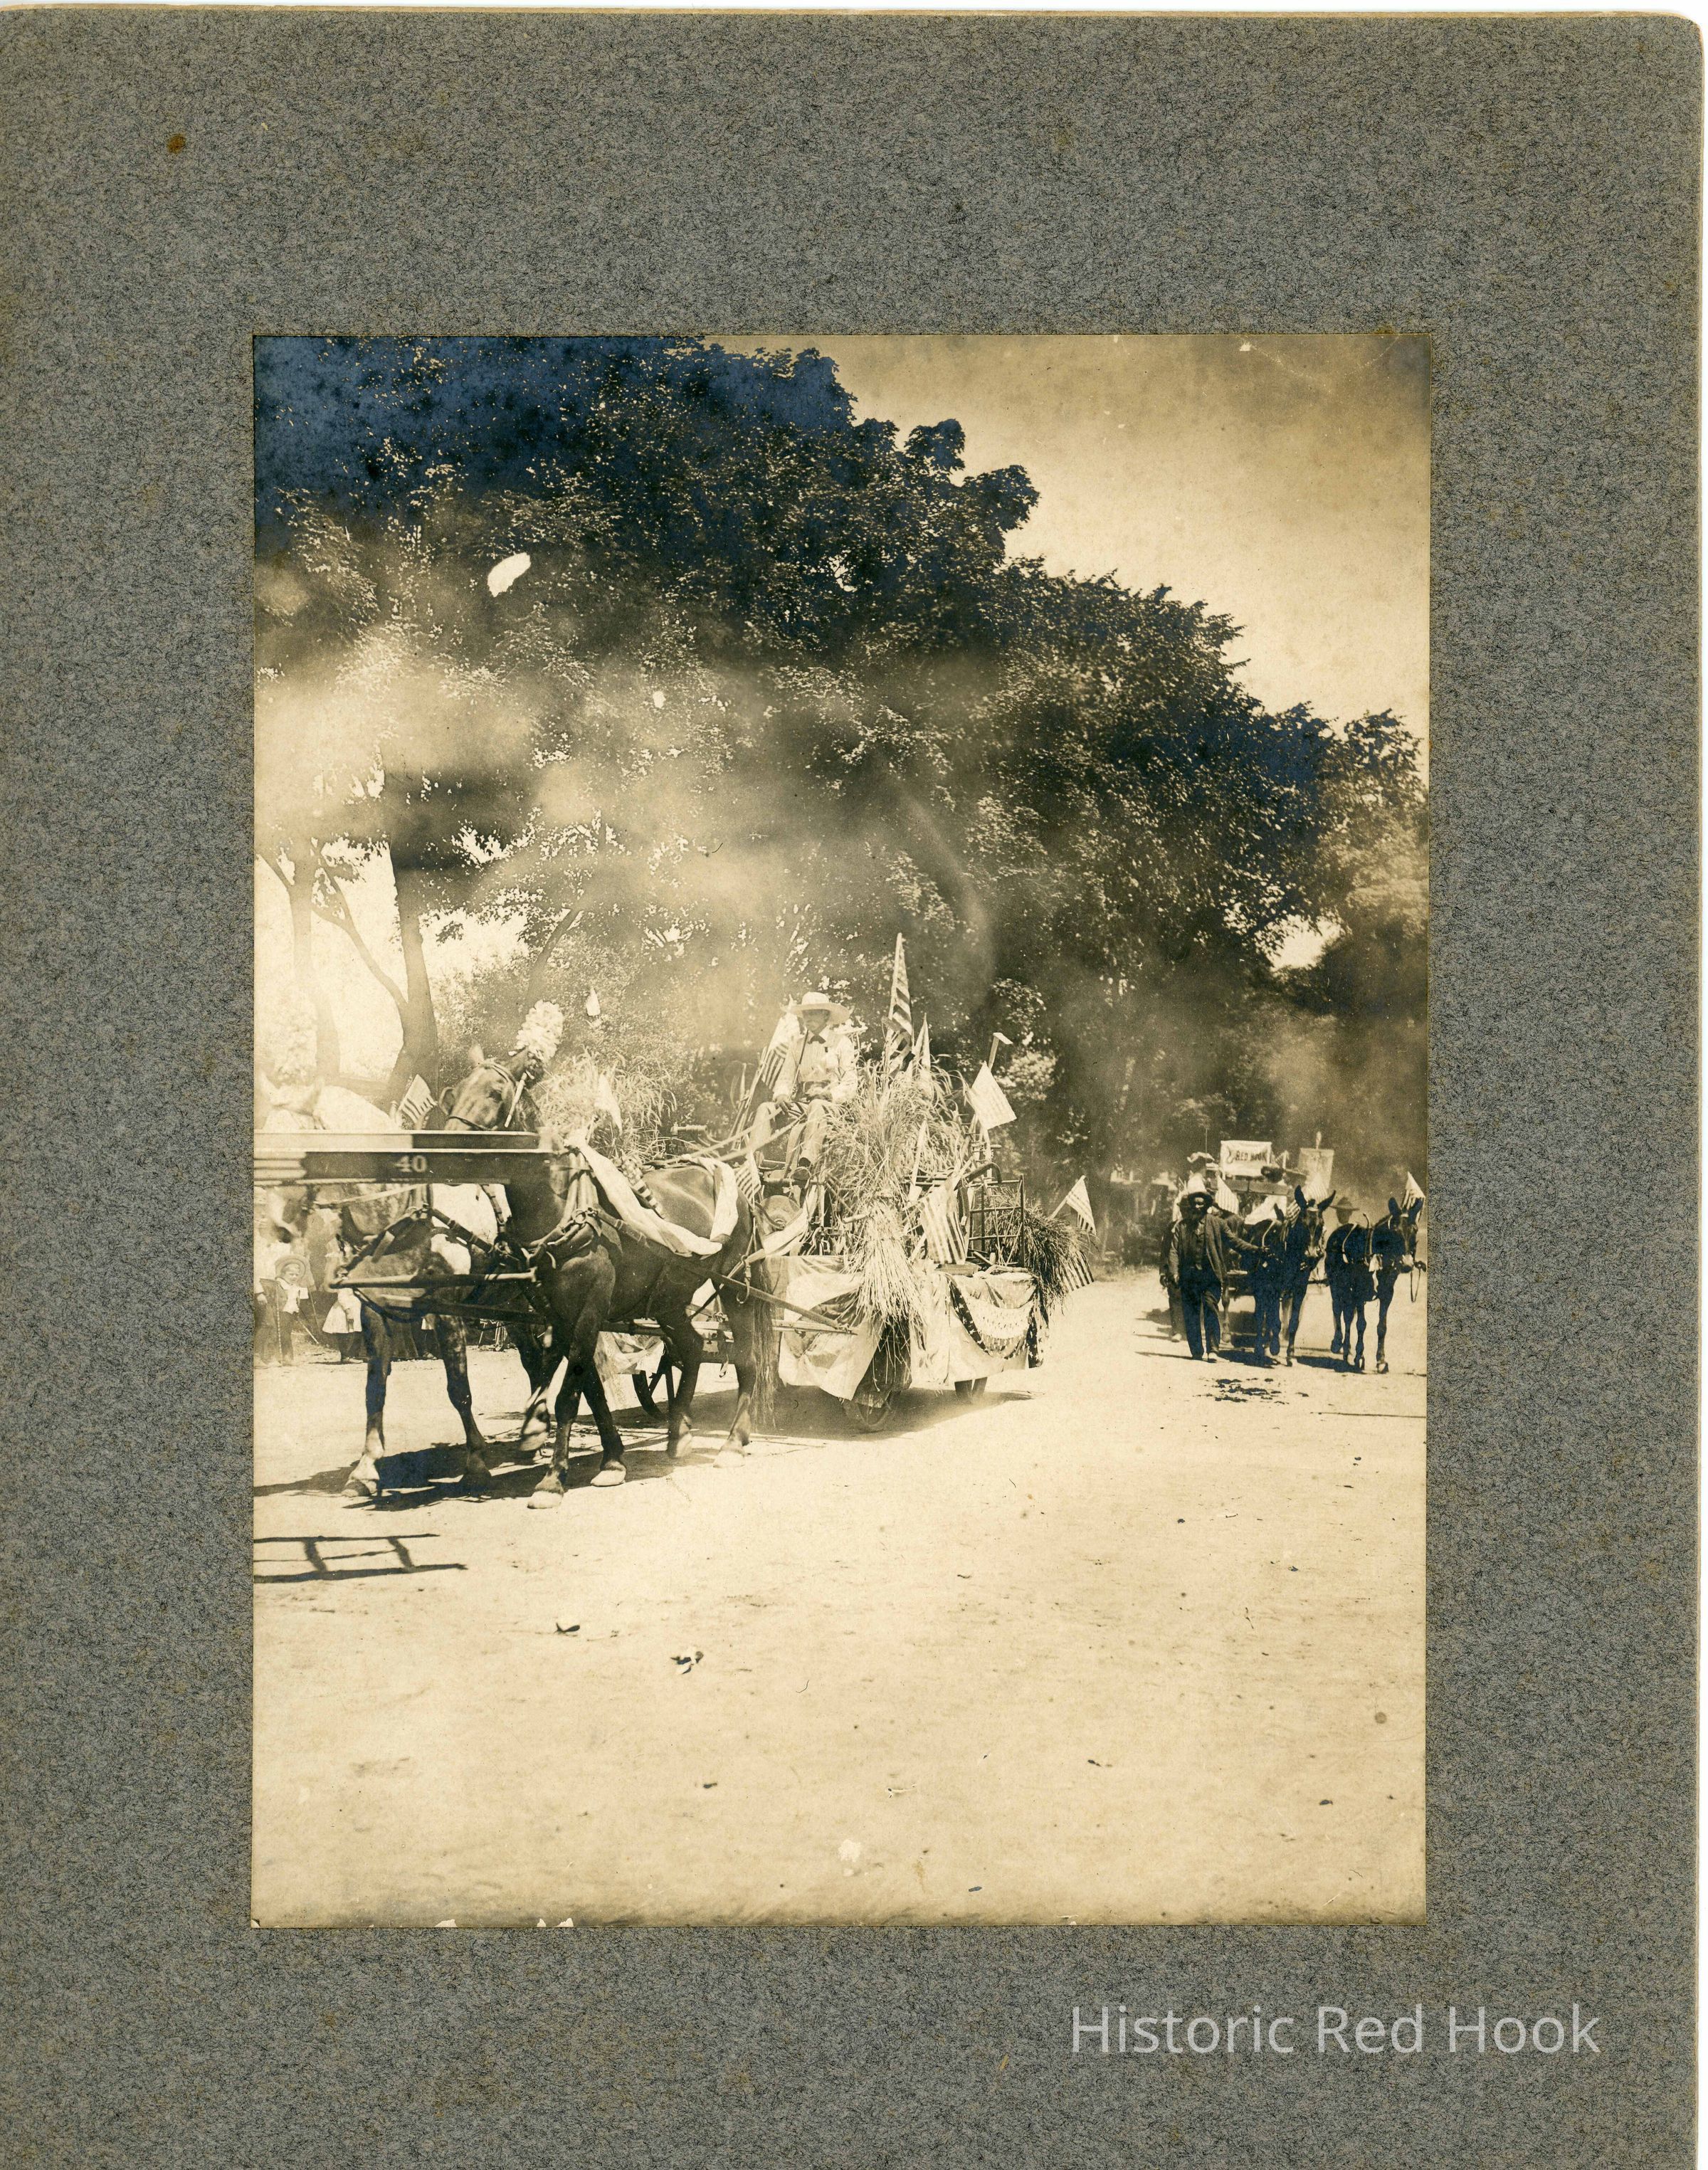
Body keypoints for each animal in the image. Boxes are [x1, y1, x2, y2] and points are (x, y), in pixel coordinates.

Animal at [435, 1054, 772, 1499]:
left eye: (494, 1093)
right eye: (455, 1091)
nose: (445, 1153)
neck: (561, 1206)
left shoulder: (590, 1306)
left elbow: (570, 1393)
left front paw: (552, 1479)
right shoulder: (558, 1313)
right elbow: (588, 1389)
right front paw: (607, 1458)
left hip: (733, 1289)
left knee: (746, 1360)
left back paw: (733, 1442)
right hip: (668, 1297)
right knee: (693, 1346)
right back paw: (678, 1433)